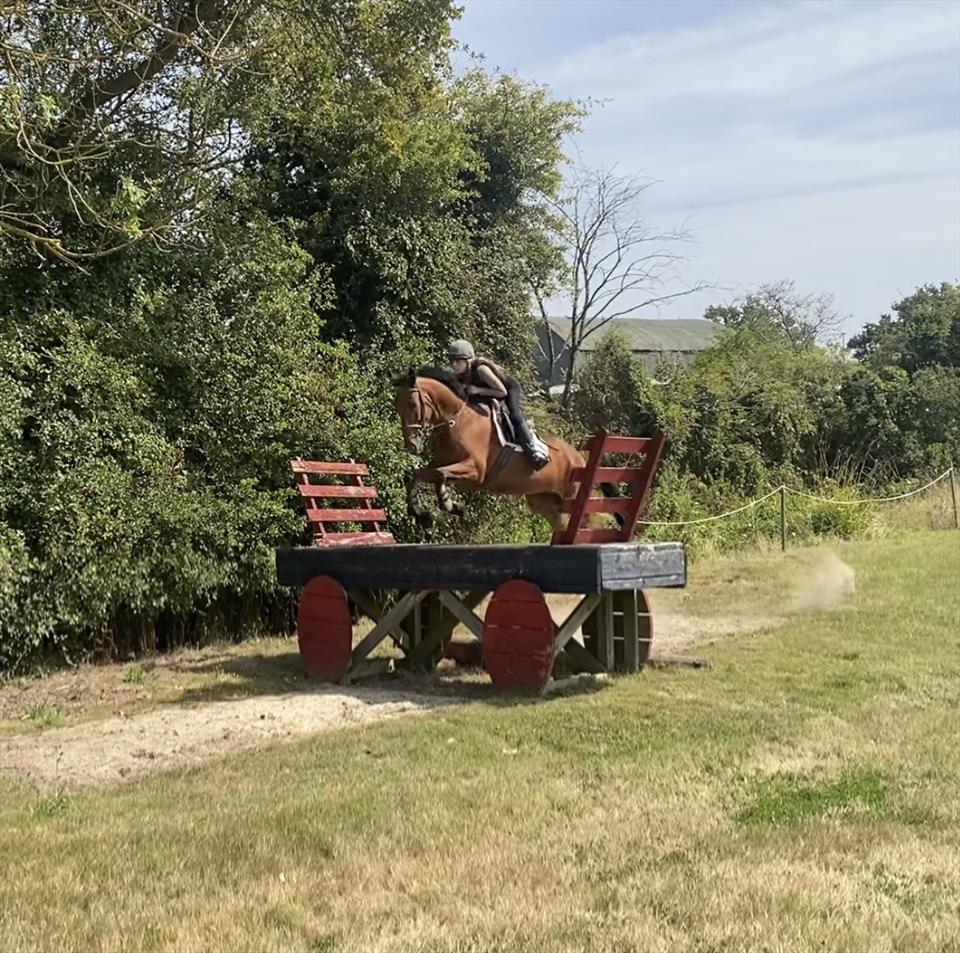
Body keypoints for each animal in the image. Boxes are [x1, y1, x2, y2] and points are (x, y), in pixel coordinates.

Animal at [392, 367, 591, 530]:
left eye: (412, 405)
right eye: (397, 407)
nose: (412, 445)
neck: (458, 421)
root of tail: (579, 458)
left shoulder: (476, 471)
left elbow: (440, 474)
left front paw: (451, 506)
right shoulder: (445, 465)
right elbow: (419, 474)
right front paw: (421, 512)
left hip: (568, 501)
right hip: (544, 503)